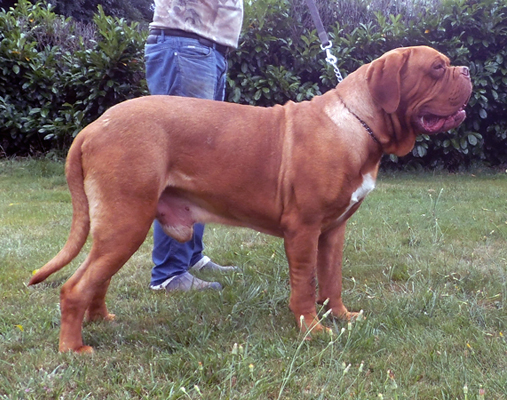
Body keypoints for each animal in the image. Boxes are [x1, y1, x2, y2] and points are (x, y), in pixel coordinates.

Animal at [28, 46, 472, 354]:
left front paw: (343, 317)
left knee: (97, 278)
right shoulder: (303, 230)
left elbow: (332, 279)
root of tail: (92, 127)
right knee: (75, 286)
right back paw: (74, 348)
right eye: (436, 68)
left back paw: (102, 319)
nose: (467, 70)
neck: (358, 124)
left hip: (121, 226)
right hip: (126, 222)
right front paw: (312, 329)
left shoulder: (333, 231)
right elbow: (306, 284)